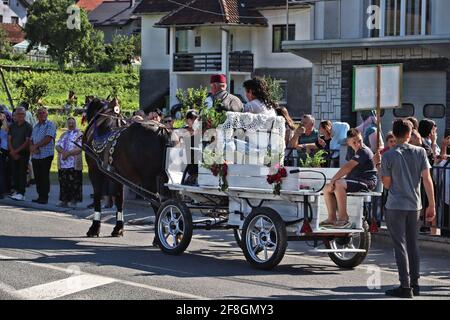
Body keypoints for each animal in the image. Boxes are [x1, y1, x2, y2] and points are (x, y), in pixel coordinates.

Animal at [83, 98, 171, 238]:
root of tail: (161, 129)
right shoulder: (117, 175)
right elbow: (120, 199)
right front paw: (118, 228)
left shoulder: (94, 171)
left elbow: (97, 196)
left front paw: (94, 228)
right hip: (166, 177)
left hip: (149, 179)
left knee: (157, 201)